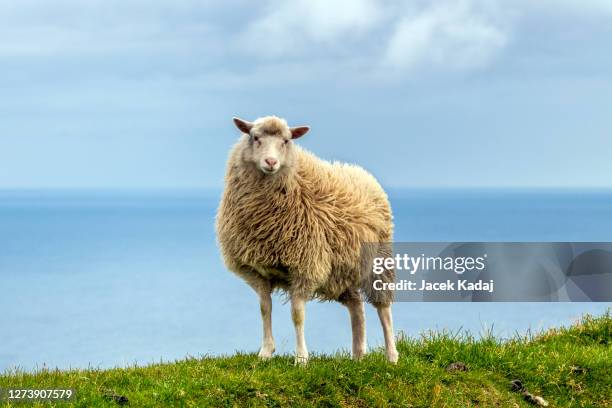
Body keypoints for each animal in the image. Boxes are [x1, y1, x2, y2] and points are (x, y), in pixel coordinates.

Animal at [215, 114, 396, 364]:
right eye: (255, 137)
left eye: (286, 140)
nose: (270, 162)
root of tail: (362, 173)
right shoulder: (258, 271)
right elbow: (264, 309)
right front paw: (265, 352)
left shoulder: (305, 266)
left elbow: (297, 315)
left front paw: (301, 358)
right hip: (341, 271)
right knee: (357, 306)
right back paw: (358, 355)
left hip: (379, 261)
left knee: (383, 308)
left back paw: (392, 356)